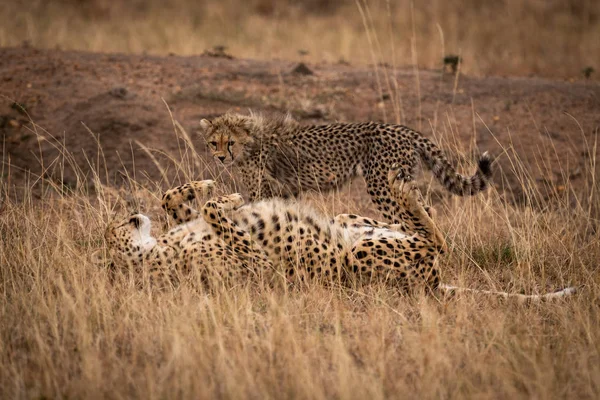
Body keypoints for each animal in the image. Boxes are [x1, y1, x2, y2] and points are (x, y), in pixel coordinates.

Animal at [199, 111, 494, 231]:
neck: (251, 140)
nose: (221, 157)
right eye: (214, 142)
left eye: (230, 142)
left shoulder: (262, 189)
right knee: (425, 209)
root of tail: (402, 129)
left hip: (382, 184)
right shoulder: (286, 190)